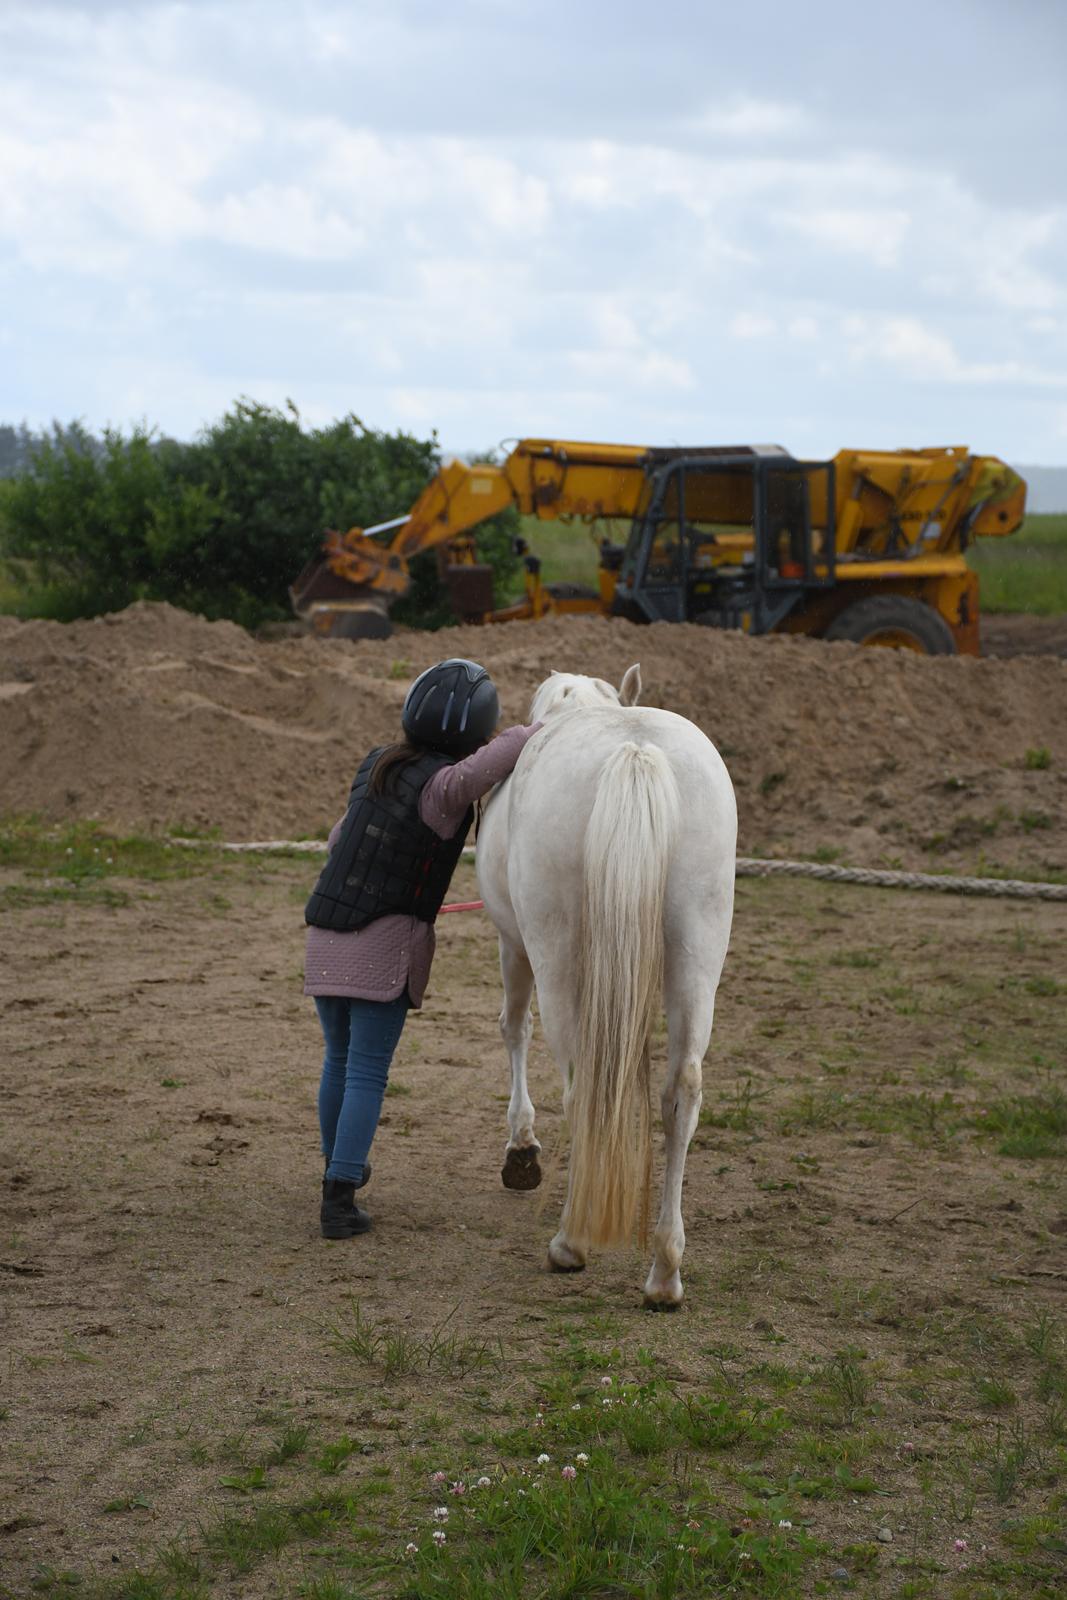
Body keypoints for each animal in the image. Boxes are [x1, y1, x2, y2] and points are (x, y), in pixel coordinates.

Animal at [479, 668, 739, 1305]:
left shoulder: (513, 944)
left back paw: (570, 1243)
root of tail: (635, 748)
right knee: (682, 1092)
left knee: (583, 1089)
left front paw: (521, 1148)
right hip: (698, 953)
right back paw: (665, 1272)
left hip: (556, 959)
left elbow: (513, 1029)